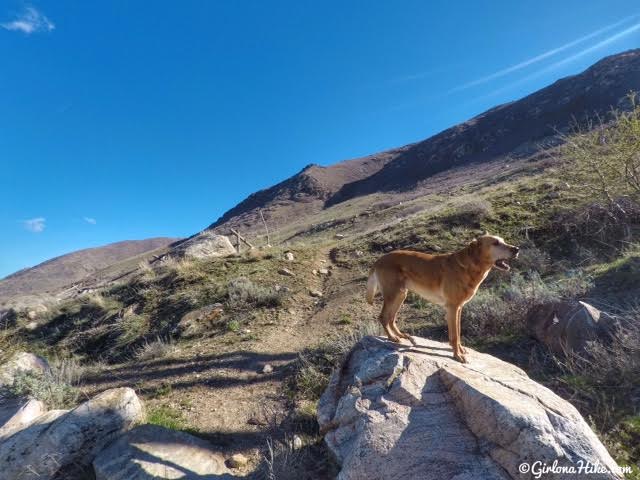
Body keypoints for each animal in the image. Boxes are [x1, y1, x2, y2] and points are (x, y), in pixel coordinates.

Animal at [364, 234, 520, 362]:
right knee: (383, 317)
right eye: (495, 243)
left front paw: (459, 350)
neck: (470, 265)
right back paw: (392, 337)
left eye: (503, 241)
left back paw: (401, 335)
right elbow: (455, 335)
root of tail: (379, 260)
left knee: (391, 318)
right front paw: (457, 356)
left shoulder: (458, 308)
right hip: (393, 294)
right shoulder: (452, 308)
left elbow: (457, 332)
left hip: (401, 294)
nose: (517, 249)